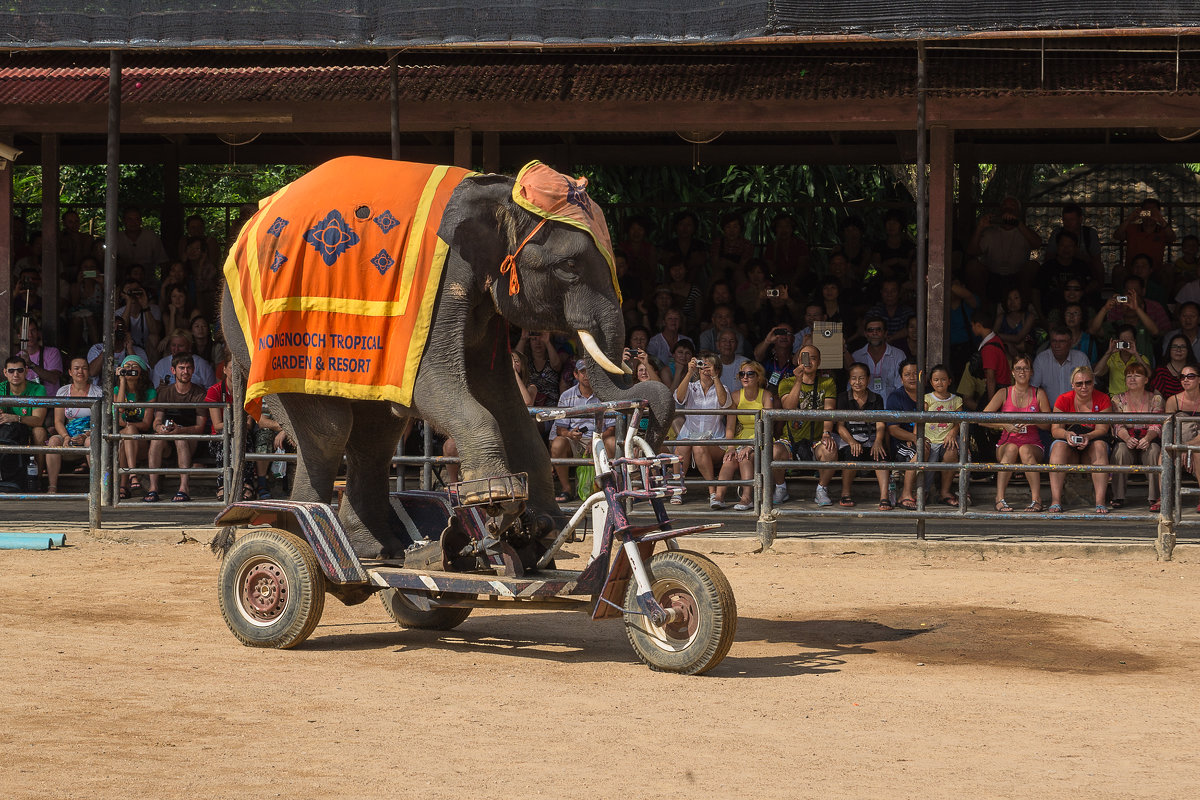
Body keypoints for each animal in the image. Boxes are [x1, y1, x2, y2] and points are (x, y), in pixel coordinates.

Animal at [219, 158, 672, 563]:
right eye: (569, 266)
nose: (636, 362)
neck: (502, 190)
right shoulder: (437, 284)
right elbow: (433, 384)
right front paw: (496, 499)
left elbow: (501, 396)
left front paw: (544, 524)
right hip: (264, 340)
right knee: (330, 430)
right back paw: (298, 531)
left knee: (375, 434)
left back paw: (377, 550)